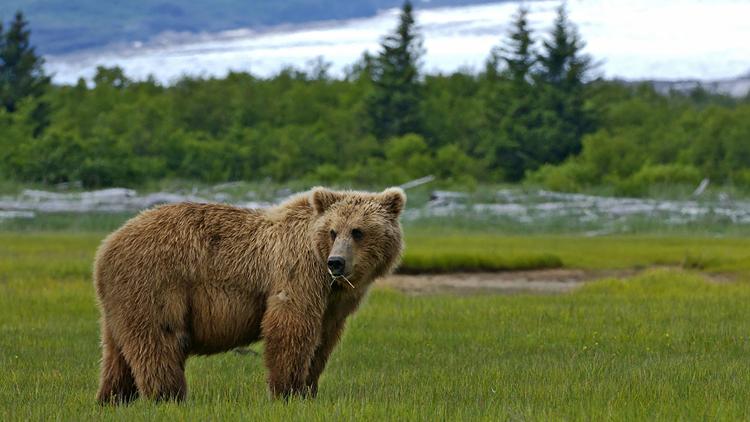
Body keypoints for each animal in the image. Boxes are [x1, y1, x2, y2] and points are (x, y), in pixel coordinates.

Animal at [96, 186, 408, 404]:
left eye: (358, 231)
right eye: (333, 231)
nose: (337, 262)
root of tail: (106, 246)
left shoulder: (334, 305)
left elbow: (323, 340)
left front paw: (309, 388)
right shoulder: (298, 273)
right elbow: (290, 326)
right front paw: (288, 392)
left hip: (122, 298)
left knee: (118, 351)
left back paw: (113, 398)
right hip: (156, 281)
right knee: (160, 338)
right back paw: (169, 396)